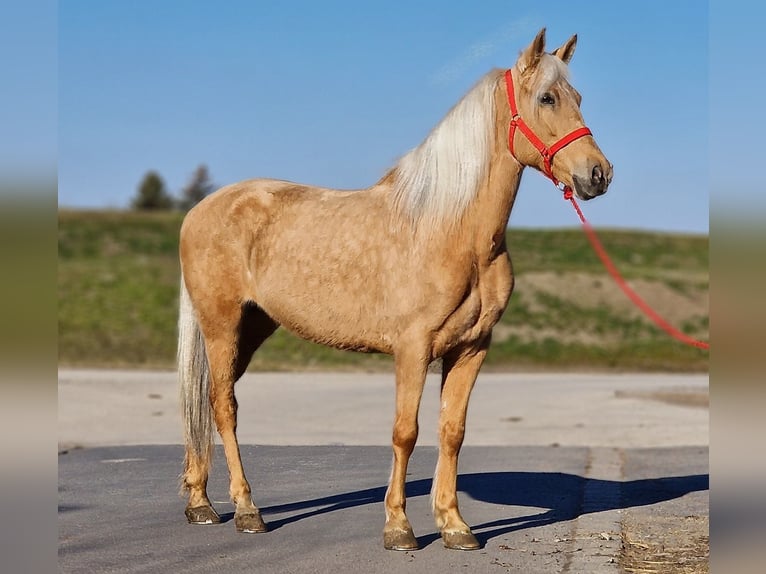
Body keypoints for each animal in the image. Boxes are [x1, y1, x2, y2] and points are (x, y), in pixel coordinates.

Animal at [177, 28, 616, 552]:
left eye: (579, 97)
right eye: (547, 98)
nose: (598, 174)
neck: (450, 229)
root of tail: (200, 210)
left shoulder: (471, 348)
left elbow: (452, 431)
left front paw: (454, 525)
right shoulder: (413, 348)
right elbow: (406, 431)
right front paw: (399, 527)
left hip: (252, 328)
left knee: (204, 402)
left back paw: (200, 503)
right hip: (222, 324)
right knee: (224, 407)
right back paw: (246, 510)